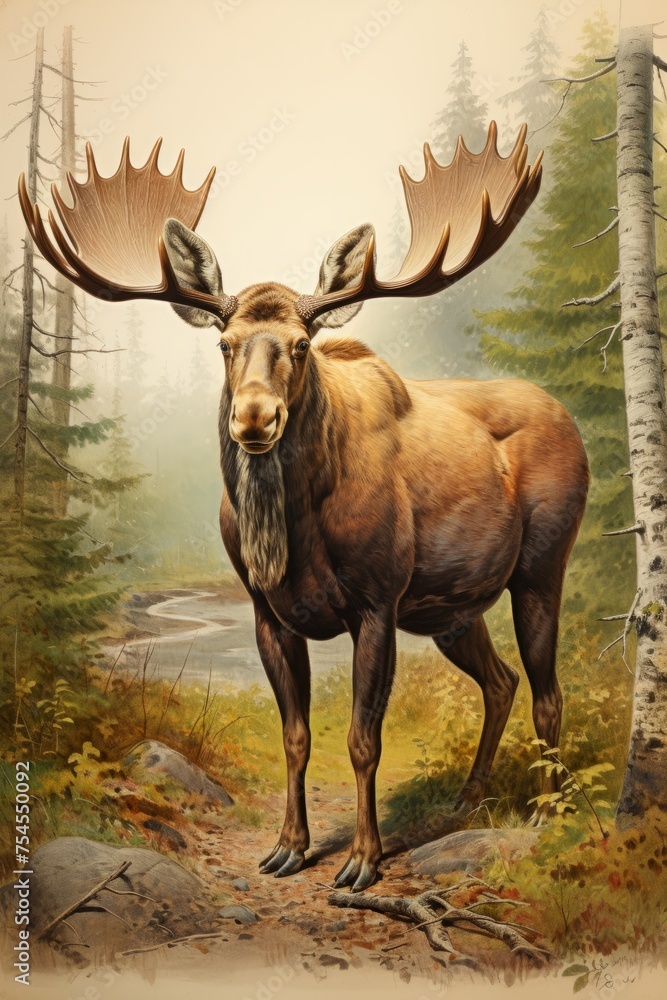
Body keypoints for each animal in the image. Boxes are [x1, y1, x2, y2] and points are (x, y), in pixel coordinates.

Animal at [20, 123, 589, 892]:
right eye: (224, 344)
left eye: (299, 342)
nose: (254, 416)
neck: (294, 537)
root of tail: (569, 420)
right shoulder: (268, 611)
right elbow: (296, 736)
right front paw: (288, 847)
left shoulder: (377, 600)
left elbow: (361, 739)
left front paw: (361, 859)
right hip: (449, 607)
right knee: (499, 682)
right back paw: (468, 798)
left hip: (540, 566)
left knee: (547, 691)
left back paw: (547, 815)